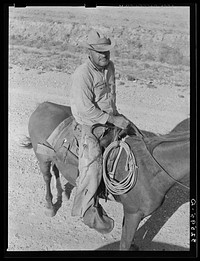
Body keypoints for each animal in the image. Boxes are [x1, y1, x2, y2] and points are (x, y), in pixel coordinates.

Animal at [21, 101, 189, 250]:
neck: (149, 170)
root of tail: (43, 105)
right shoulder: (133, 213)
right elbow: (124, 243)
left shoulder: (131, 214)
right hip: (42, 158)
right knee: (47, 177)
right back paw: (50, 207)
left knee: (56, 170)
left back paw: (63, 193)